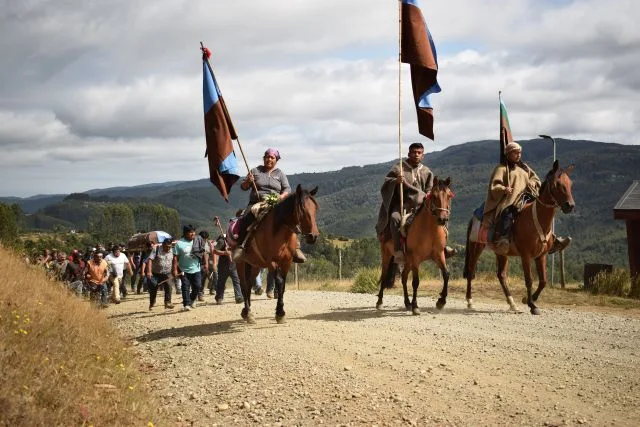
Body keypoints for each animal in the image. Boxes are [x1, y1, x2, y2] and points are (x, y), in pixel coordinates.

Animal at [236, 185, 318, 324]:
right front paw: (280, 313)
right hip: (240, 263)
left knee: (249, 285)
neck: (279, 231)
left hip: (255, 265)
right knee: (243, 285)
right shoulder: (271, 262)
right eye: (302, 209)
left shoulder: (287, 261)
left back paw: (247, 313)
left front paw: (280, 312)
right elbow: (279, 282)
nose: (313, 236)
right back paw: (247, 312)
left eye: (315, 208)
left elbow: (283, 285)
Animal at [378, 176, 452, 314]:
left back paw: (407, 303)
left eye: (449, 196)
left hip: (407, 260)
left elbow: (446, 274)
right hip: (387, 254)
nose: (443, 219)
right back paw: (379, 301)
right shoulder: (416, 258)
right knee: (384, 275)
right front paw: (416, 306)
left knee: (403, 277)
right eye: (434, 196)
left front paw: (441, 301)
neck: (429, 231)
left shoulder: (439, 254)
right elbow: (416, 281)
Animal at [462, 160, 576, 314]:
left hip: (501, 252)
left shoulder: (541, 256)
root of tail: (475, 215)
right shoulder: (525, 255)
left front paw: (527, 299)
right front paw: (532, 305)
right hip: (476, 246)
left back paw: (512, 303)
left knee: (501, 275)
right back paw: (469, 301)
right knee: (470, 271)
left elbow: (543, 281)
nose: (570, 205)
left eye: (570, 183)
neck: (536, 219)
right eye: (558, 184)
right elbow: (529, 279)